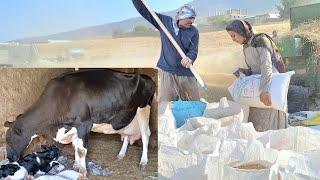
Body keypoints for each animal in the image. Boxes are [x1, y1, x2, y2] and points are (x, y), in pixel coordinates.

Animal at [3, 69, 156, 179]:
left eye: (9, 139)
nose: (10, 158)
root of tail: (145, 76)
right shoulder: (73, 126)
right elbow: (75, 146)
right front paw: (76, 166)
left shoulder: (84, 124)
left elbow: (82, 150)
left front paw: (83, 172)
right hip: (128, 115)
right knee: (127, 134)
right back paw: (121, 154)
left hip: (143, 109)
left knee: (145, 135)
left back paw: (143, 162)